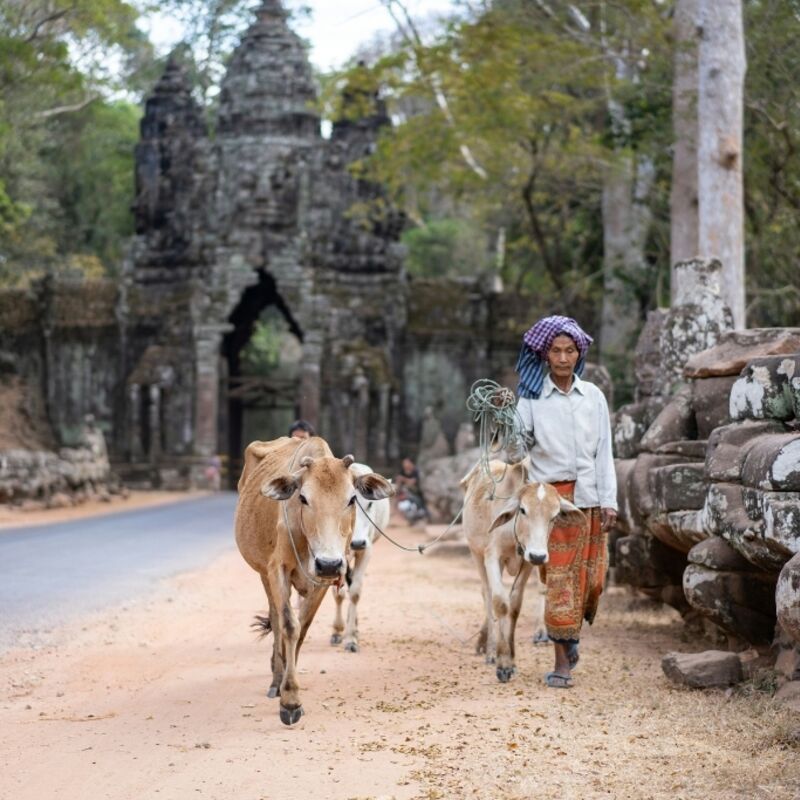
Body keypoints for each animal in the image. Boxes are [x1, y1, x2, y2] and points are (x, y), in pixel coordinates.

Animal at [233, 438, 392, 724]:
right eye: (303, 497)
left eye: (352, 498)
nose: (328, 563)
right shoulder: (277, 569)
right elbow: (288, 625)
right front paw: (289, 699)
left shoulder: (325, 579)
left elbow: (303, 627)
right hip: (263, 572)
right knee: (275, 619)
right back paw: (276, 676)